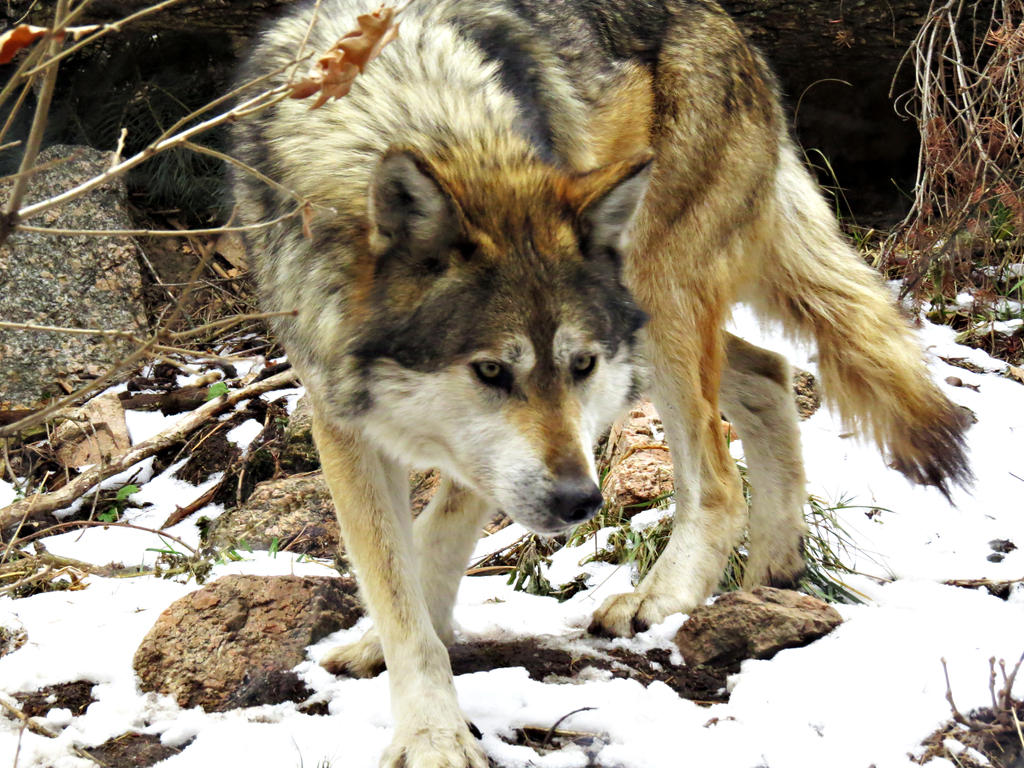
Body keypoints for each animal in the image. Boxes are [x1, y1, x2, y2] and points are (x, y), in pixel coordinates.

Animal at [228, 3, 970, 765]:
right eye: (491, 371)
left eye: (579, 365)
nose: (580, 501)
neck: (414, 113)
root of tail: (735, 30)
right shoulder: (341, 411)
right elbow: (396, 580)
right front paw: (416, 700)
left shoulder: (491, 449)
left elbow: (434, 543)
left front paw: (429, 731)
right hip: (653, 319)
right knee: (770, 373)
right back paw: (775, 571)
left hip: (653, 298)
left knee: (717, 474)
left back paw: (663, 597)